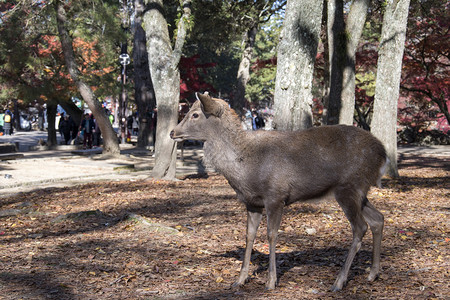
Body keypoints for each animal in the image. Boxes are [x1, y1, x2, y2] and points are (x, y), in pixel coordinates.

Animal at [170, 92, 386, 292]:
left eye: (195, 114)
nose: (173, 132)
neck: (245, 170)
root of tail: (383, 154)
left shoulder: (275, 195)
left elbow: (271, 234)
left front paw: (271, 281)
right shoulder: (251, 202)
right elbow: (249, 235)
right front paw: (240, 279)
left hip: (348, 187)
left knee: (360, 227)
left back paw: (339, 281)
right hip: (360, 191)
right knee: (378, 218)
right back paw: (372, 274)